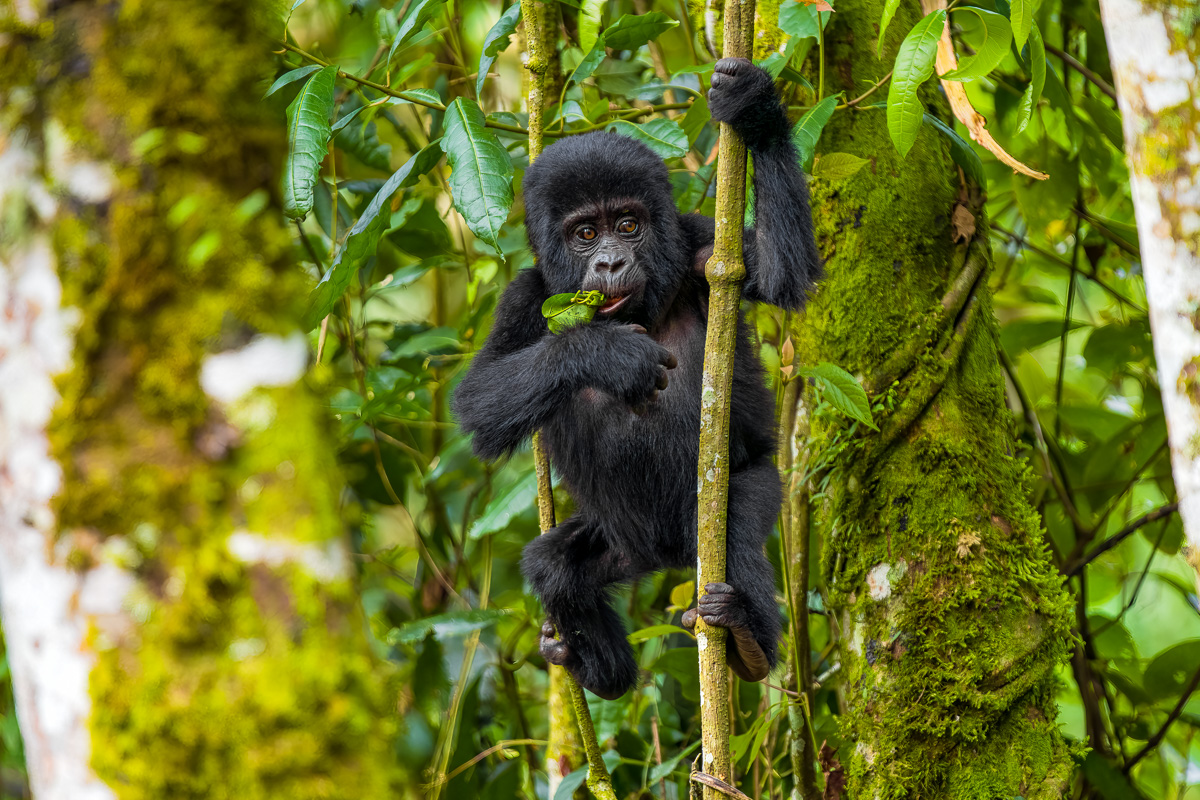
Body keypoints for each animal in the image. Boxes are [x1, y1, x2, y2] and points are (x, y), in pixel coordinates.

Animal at [453, 57, 820, 700]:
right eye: (584, 234)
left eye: (627, 225)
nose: (609, 261)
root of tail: (665, 559)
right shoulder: (524, 298)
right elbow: (478, 404)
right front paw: (609, 355)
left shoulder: (704, 247)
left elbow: (782, 271)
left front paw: (753, 108)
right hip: (619, 544)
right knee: (556, 568)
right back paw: (597, 669)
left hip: (735, 502)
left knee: (730, 525)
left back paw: (746, 643)